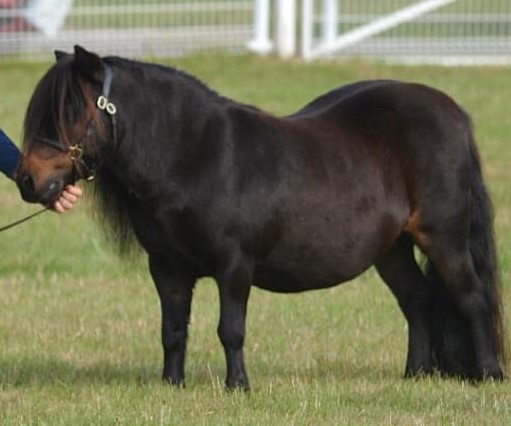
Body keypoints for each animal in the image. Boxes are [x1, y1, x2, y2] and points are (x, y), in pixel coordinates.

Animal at [17, 46, 508, 390]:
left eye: (72, 112)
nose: (27, 179)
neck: (196, 158)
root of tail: (451, 112)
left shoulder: (235, 265)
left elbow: (230, 329)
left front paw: (238, 386)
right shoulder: (167, 268)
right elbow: (172, 330)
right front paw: (171, 385)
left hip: (443, 237)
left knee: (470, 298)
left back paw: (488, 374)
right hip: (392, 249)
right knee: (418, 300)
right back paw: (415, 375)